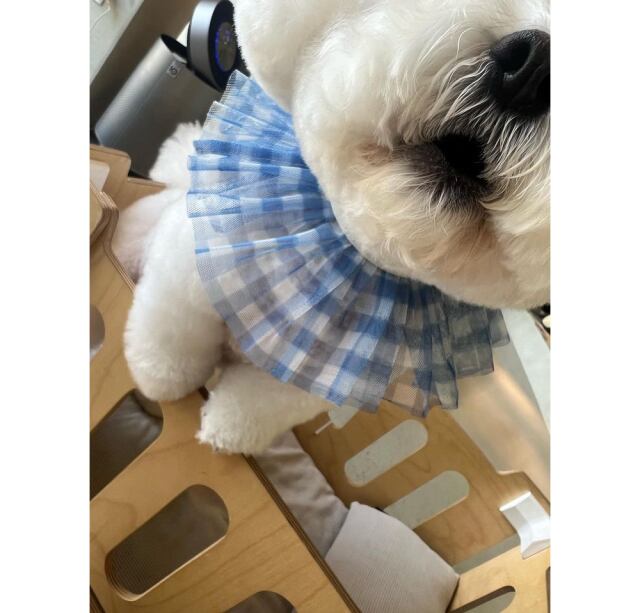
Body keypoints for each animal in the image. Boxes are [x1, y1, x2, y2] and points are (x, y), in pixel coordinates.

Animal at [118, 0, 550, 454]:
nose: (533, 68)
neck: (347, 255)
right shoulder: (184, 280)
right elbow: (172, 339)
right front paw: (161, 381)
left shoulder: (308, 377)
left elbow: (255, 405)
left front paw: (222, 433)